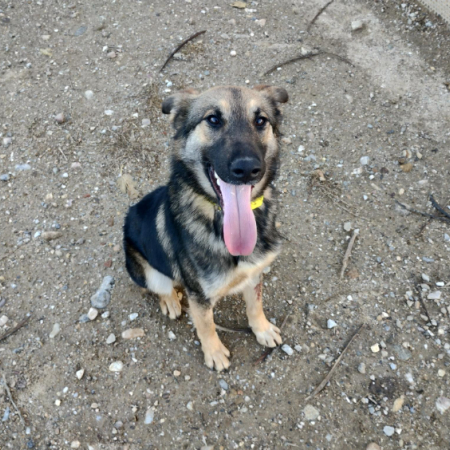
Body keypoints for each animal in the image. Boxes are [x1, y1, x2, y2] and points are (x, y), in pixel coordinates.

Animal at [123, 85, 289, 371]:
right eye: (213, 119)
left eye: (260, 121)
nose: (247, 168)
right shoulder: (199, 296)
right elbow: (206, 325)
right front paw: (215, 352)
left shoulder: (254, 274)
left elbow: (255, 305)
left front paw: (263, 329)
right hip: (146, 269)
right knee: (159, 287)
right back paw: (170, 301)